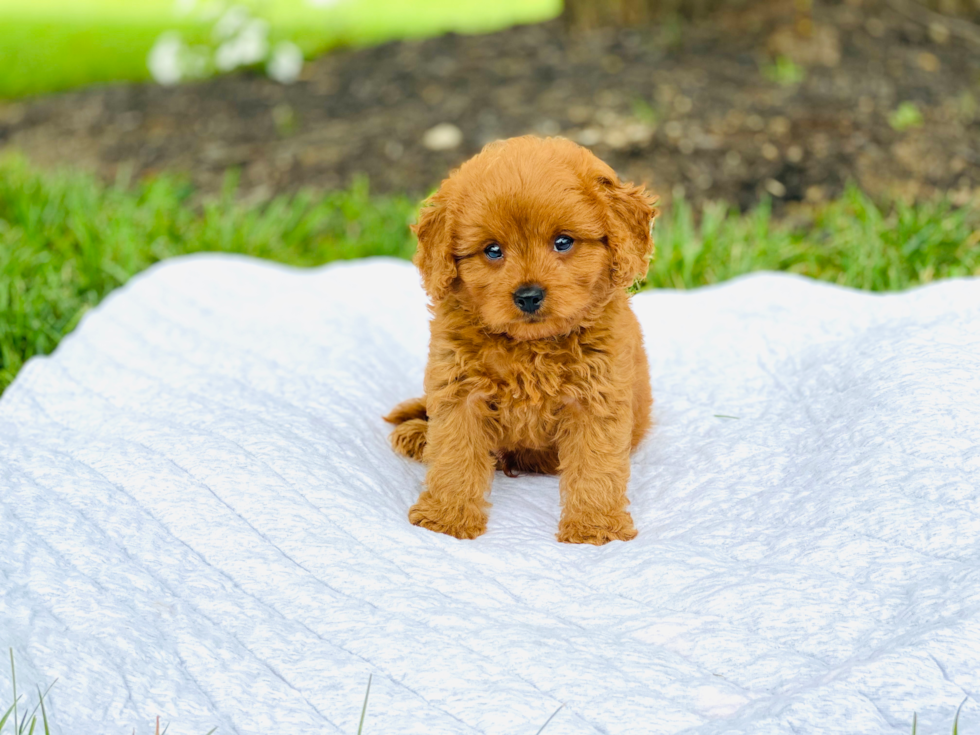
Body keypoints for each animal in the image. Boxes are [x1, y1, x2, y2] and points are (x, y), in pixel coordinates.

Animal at [386, 134, 656, 548]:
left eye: (563, 242)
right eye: (493, 250)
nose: (528, 296)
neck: (530, 346)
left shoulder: (597, 398)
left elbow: (596, 466)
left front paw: (594, 528)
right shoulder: (459, 391)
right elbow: (454, 455)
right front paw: (447, 518)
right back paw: (418, 434)